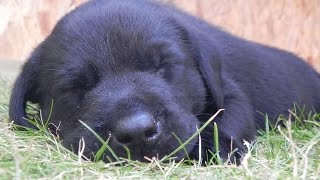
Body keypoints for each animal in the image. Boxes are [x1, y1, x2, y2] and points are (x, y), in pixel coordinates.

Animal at [8, 0, 320, 163]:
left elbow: (228, 120)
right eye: (77, 87)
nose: (136, 132)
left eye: (164, 68)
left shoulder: (229, 93)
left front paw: (216, 151)